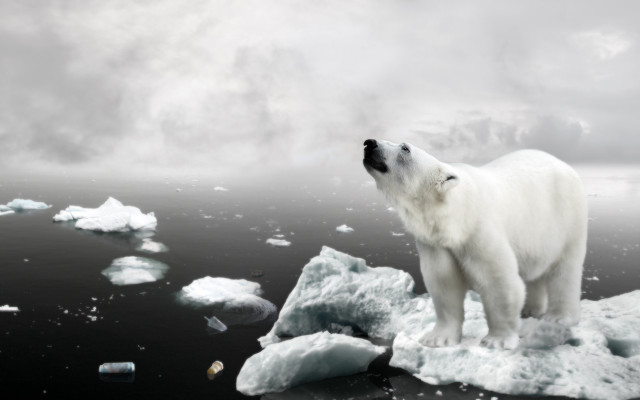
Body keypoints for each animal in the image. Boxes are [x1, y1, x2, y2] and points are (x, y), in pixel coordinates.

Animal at [363, 139, 587, 349]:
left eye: (405, 148)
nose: (369, 143)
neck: (456, 217)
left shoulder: (479, 231)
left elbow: (499, 281)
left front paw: (497, 340)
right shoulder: (435, 243)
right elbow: (444, 283)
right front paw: (437, 339)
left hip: (567, 218)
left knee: (565, 269)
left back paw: (559, 317)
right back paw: (529, 309)